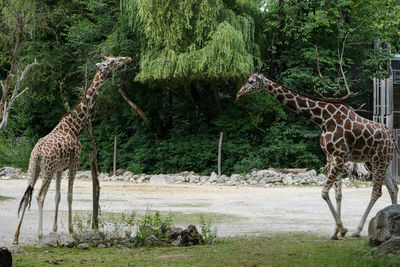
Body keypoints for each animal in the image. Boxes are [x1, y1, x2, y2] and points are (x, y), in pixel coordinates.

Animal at [13, 55, 132, 244]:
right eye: (113, 61)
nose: (127, 58)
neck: (75, 125)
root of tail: (37, 153)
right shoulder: (74, 162)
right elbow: (69, 196)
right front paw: (70, 230)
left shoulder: (60, 168)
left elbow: (58, 196)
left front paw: (54, 229)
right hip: (46, 169)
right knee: (39, 196)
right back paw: (39, 234)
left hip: (33, 168)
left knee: (26, 196)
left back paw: (16, 237)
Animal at [236, 69, 398, 241]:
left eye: (251, 81)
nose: (238, 93)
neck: (323, 120)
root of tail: (391, 136)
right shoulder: (331, 157)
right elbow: (338, 194)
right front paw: (336, 232)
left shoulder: (340, 156)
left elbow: (324, 192)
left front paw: (343, 228)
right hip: (383, 161)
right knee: (393, 188)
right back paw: (392, 221)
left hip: (379, 159)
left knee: (377, 192)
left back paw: (358, 230)